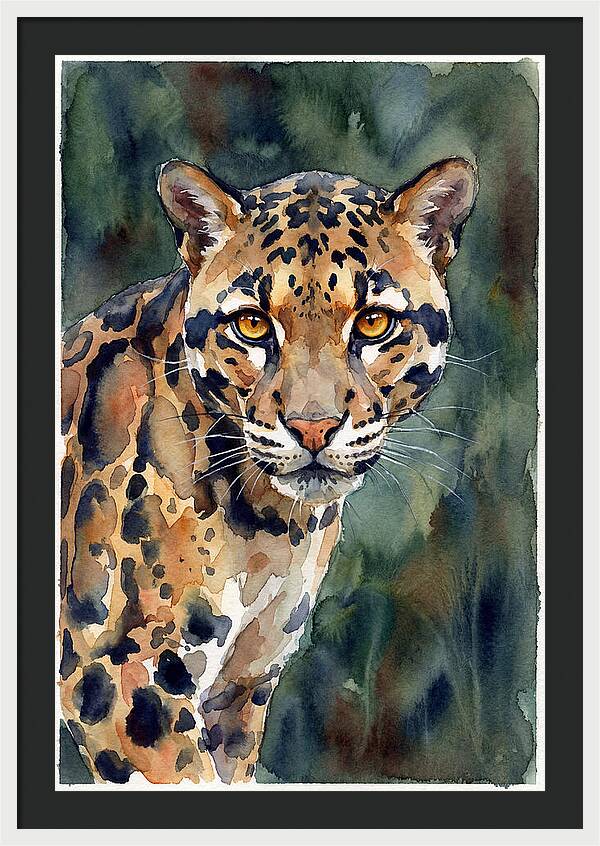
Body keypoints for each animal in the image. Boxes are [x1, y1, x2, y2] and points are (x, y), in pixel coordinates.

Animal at [59, 156, 477, 785]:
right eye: (253, 325)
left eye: (374, 323)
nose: (313, 427)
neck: (269, 527)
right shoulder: (118, 677)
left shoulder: (240, 688)